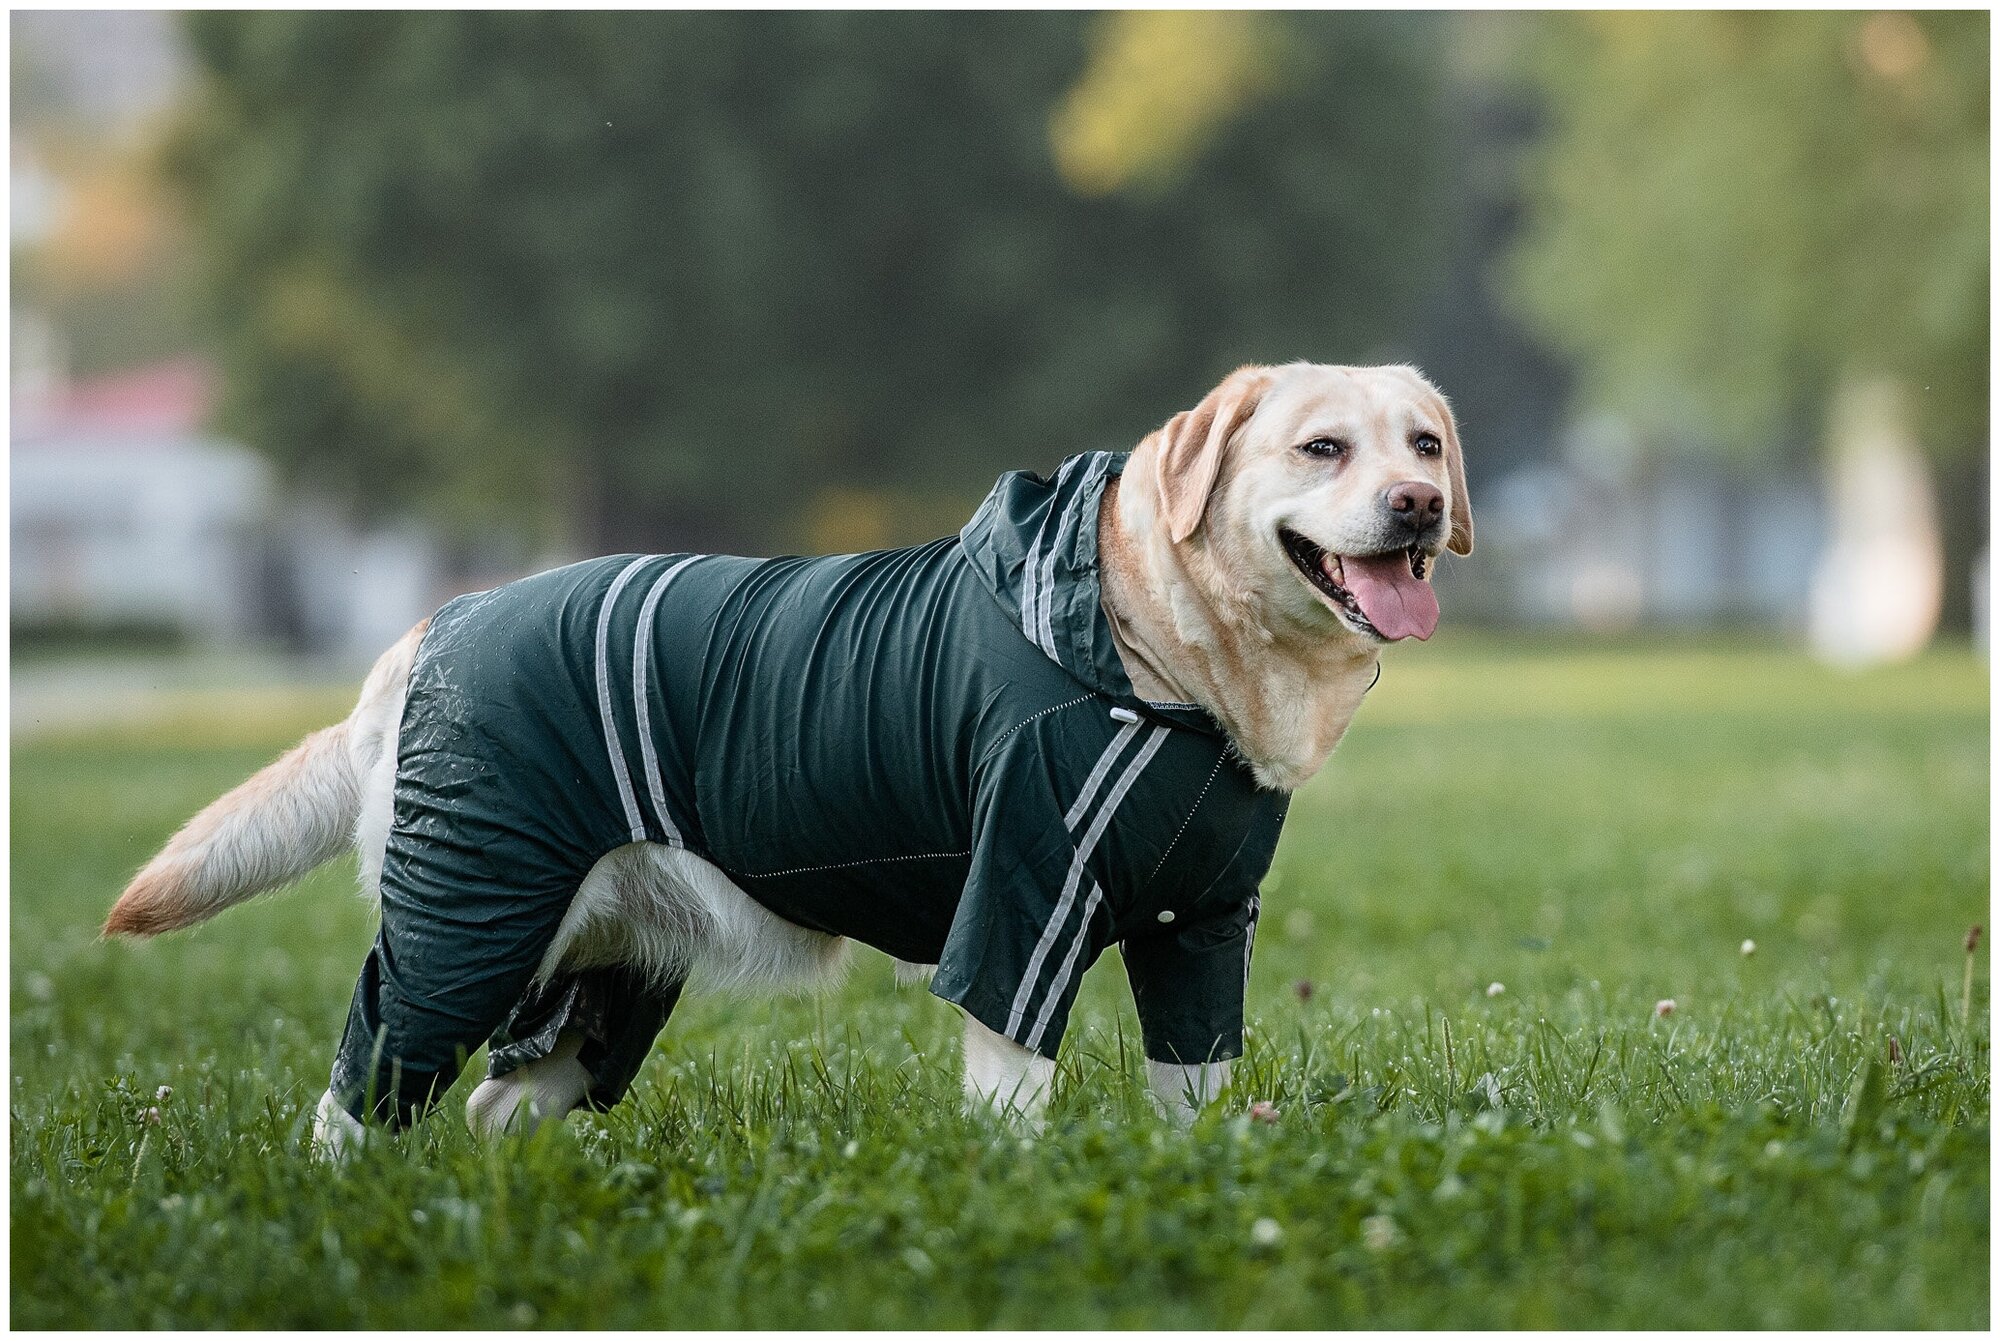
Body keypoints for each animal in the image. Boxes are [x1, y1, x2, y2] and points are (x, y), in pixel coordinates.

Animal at [105, 362, 1472, 1152]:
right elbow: (1013, 1093)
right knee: (361, 1092)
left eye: (1422, 446)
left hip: (595, 980)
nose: (1415, 508)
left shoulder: (1201, 926)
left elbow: (1195, 1089)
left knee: (496, 1104)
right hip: (466, 925)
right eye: (1321, 449)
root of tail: (427, 632)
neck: (1160, 655)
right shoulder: (1021, 901)